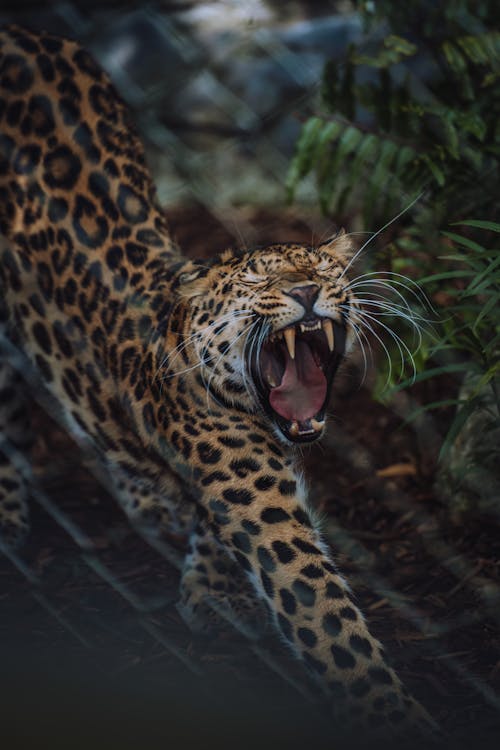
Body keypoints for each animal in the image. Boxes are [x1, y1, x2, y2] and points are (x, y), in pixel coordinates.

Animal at [0, 25, 438, 748]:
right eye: (260, 280)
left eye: (322, 269)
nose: (306, 289)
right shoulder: (260, 503)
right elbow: (330, 622)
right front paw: (390, 714)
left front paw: (208, 583)